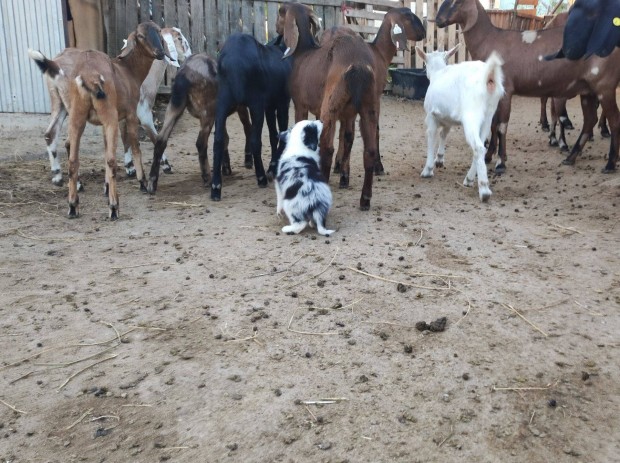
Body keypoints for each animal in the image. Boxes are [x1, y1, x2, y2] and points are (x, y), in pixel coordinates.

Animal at [212, 32, 292, 199]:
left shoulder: (269, 106)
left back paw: (216, 187)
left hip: (222, 104)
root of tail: (232, 60)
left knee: (218, 140)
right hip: (256, 106)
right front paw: (272, 168)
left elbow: (274, 134)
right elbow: (279, 132)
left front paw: (273, 166)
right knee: (255, 140)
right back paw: (261, 177)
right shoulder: (281, 103)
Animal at [280, 3, 426, 210]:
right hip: (353, 106)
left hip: (334, 106)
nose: (424, 32)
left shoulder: (303, 105)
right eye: (409, 16)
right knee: (357, 146)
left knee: (330, 146)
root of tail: (357, 65)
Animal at [416, 44, 504, 201]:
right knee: (481, 145)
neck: (438, 73)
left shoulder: (431, 116)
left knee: (478, 147)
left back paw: (484, 190)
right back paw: (469, 179)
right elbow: (444, 134)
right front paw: (439, 159)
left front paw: (428, 170)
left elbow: (431, 137)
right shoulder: (447, 119)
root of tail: (489, 76)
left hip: (471, 114)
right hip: (488, 115)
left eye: (425, 63)